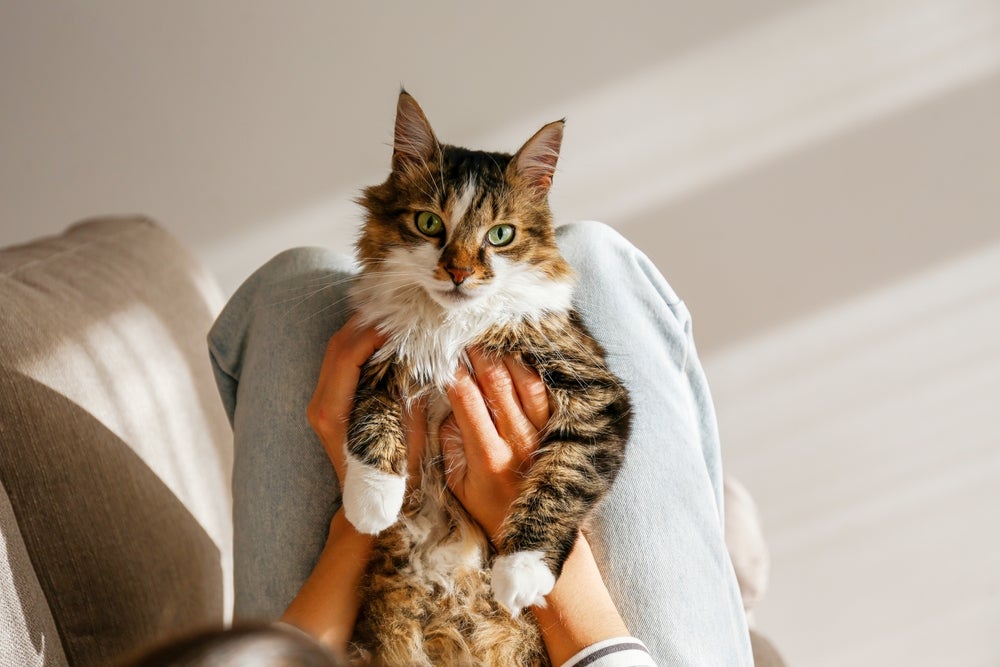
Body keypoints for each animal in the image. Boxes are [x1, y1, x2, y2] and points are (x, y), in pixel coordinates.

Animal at [340, 90, 628, 667]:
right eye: (429, 223)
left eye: (500, 235)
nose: (458, 272)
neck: (454, 326)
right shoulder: (382, 345)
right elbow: (372, 407)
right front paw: (371, 498)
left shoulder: (595, 390)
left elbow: (564, 476)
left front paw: (521, 571)